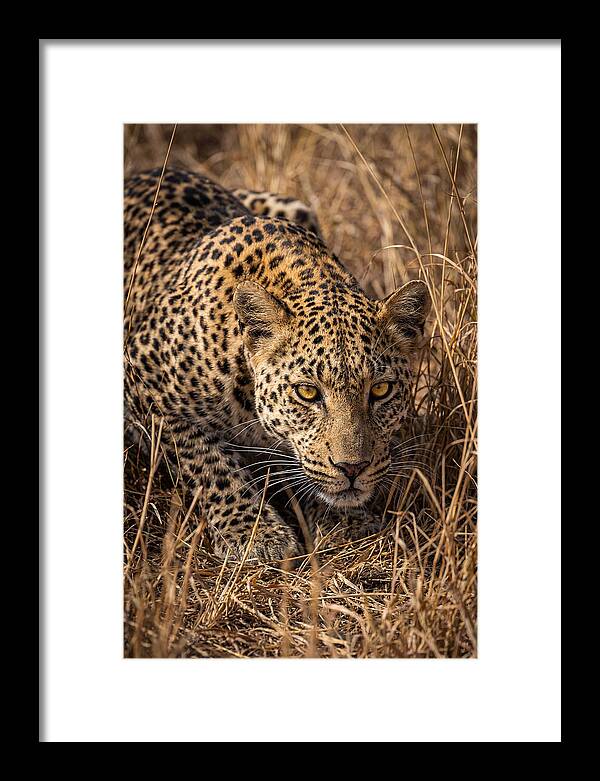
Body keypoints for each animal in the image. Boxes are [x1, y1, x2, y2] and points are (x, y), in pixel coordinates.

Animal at [124, 167, 430, 562]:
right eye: (307, 393)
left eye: (380, 390)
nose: (352, 468)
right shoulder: (141, 379)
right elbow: (207, 461)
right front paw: (253, 533)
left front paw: (346, 522)